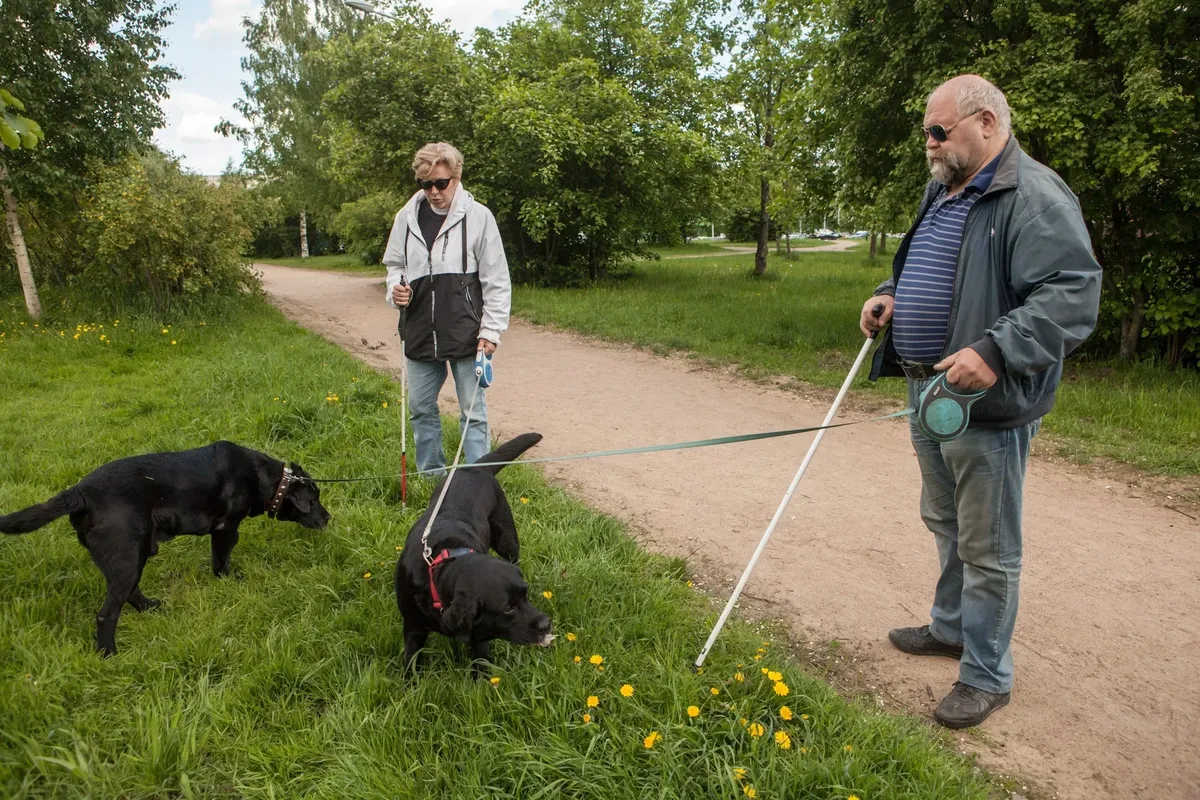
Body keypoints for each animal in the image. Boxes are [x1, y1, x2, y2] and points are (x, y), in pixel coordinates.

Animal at [0, 441, 328, 652]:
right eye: (314, 500)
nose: (328, 517)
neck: (266, 478)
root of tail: (79, 492)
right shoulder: (225, 529)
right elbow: (221, 561)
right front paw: (231, 581)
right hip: (129, 554)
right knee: (107, 614)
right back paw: (110, 654)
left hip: (133, 554)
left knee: (130, 592)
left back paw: (149, 608)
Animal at [398, 431, 556, 676]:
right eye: (508, 609)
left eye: (526, 596)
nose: (546, 625)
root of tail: (476, 467)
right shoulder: (413, 627)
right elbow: (411, 662)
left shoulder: (481, 634)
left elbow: (481, 665)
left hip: (507, 540)